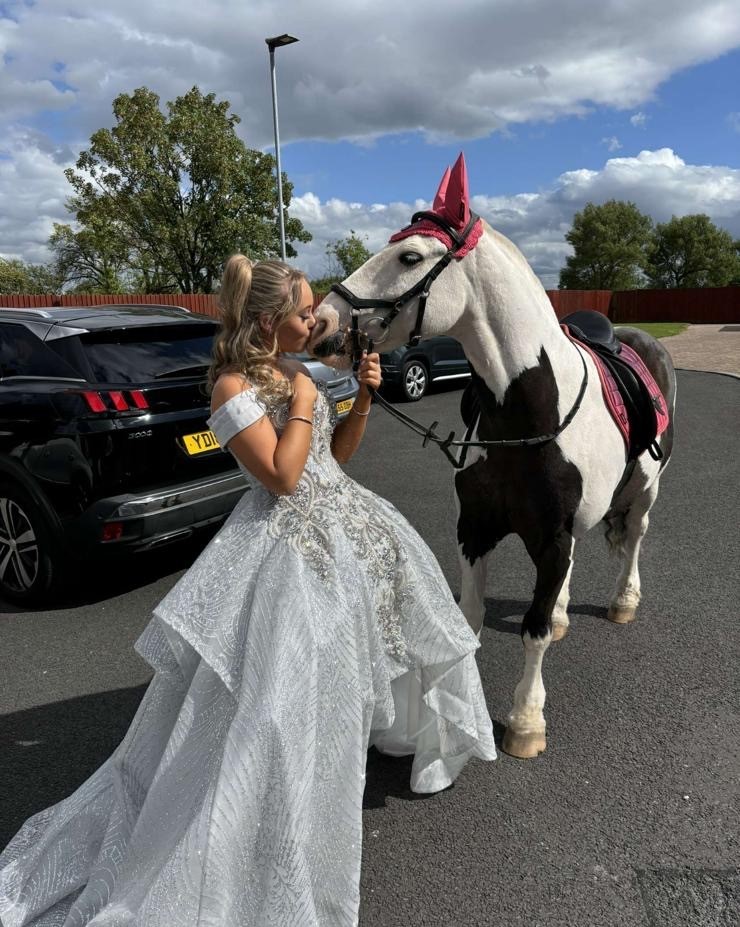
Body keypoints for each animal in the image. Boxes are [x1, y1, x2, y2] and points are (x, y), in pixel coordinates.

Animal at [310, 154, 680, 760]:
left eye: (409, 257)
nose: (321, 322)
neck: (531, 413)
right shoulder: (475, 528)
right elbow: (471, 617)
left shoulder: (550, 538)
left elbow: (532, 631)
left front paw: (525, 721)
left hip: (645, 490)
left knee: (634, 537)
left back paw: (624, 599)